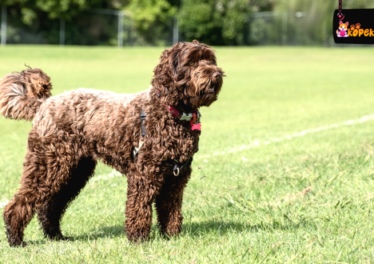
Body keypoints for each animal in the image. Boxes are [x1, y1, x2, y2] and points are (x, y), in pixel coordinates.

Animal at [0, 40, 224, 246]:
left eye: (210, 60)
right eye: (191, 62)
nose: (216, 74)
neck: (171, 112)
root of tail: (44, 103)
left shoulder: (176, 177)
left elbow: (171, 209)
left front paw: (171, 236)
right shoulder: (143, 174)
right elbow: (139, 208)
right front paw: (138, 239)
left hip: (74, 171)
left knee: (51, 205)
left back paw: (56, 235)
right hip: (47, 165)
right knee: (19, 203)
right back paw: (15, 239)